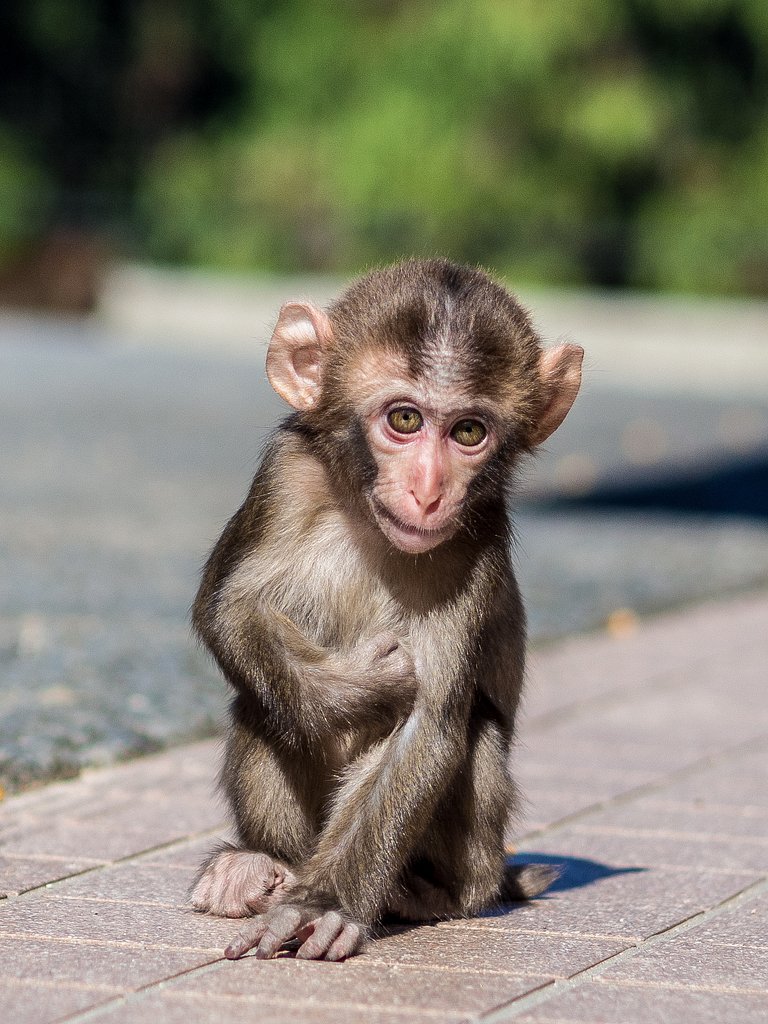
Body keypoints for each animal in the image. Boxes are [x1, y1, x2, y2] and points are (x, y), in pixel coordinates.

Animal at [189, 258, 583, 962]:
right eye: (403, 419)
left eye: (469, 432)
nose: (428, 491)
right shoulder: (287, 473)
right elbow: (229, 608)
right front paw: (361, 686)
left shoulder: (473, 544)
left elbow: (427, 726)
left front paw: (324, 904)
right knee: (261, 705)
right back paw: (260, 867)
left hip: (480, 860)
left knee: (475, 735)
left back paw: (424, 895)